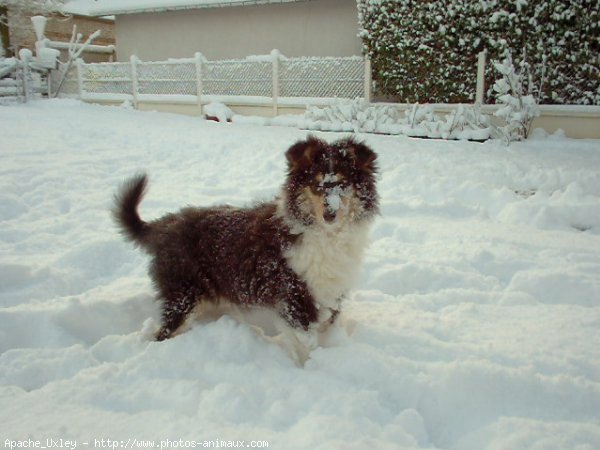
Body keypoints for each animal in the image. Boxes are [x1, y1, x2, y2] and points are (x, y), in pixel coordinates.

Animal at [114, 136, 378, 362]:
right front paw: (311, 368)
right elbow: (305, 342)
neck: (325, 235)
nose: (329, 214)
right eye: (315, 185)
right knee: (162, 334)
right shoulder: (292, 296)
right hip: (183, 295)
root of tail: (164, 225)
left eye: (344, 184)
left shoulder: (331, 293)